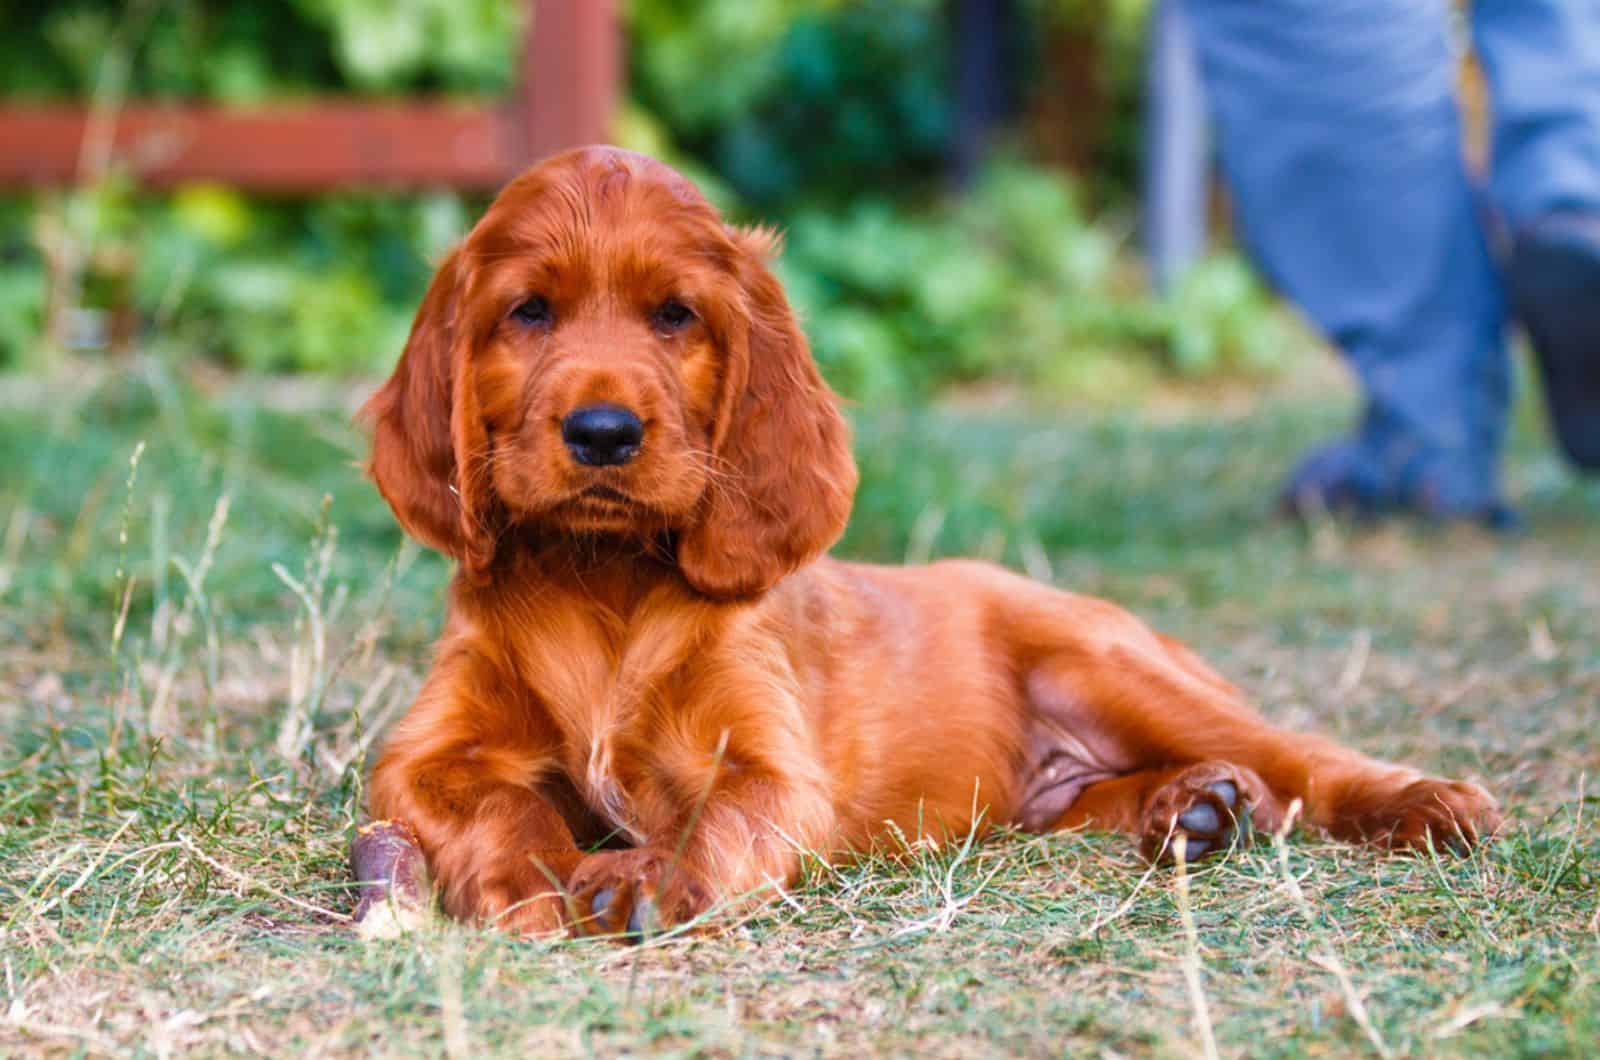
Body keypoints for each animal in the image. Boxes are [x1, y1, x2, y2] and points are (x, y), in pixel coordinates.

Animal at [363, 147, 1497, 941]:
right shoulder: (424, 756)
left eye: (675, 315)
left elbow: (714, 818)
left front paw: (644, 877)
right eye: (529, 312)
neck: (601, 580)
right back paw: (1199, 807)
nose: (602, 434)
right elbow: (495, 802)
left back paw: (1417, 799)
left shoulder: (773, 767)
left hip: (1107, 664)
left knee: (1296, 753)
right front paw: (528, 876)